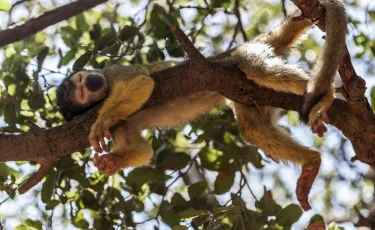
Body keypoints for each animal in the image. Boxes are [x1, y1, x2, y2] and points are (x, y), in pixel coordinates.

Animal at [57, 2, 348, 211]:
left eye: (83, 81)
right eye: (81, 91)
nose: (92, 81)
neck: (104, 94)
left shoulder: (113, 72)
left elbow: (141, 82)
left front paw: (100, 122)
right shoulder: (122, 124)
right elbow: (142, 149)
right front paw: (114, 160)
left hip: (249, 51)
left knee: (256, 68)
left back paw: (323, 96)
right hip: (247, 93)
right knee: (252, 128)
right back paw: (310, 162)